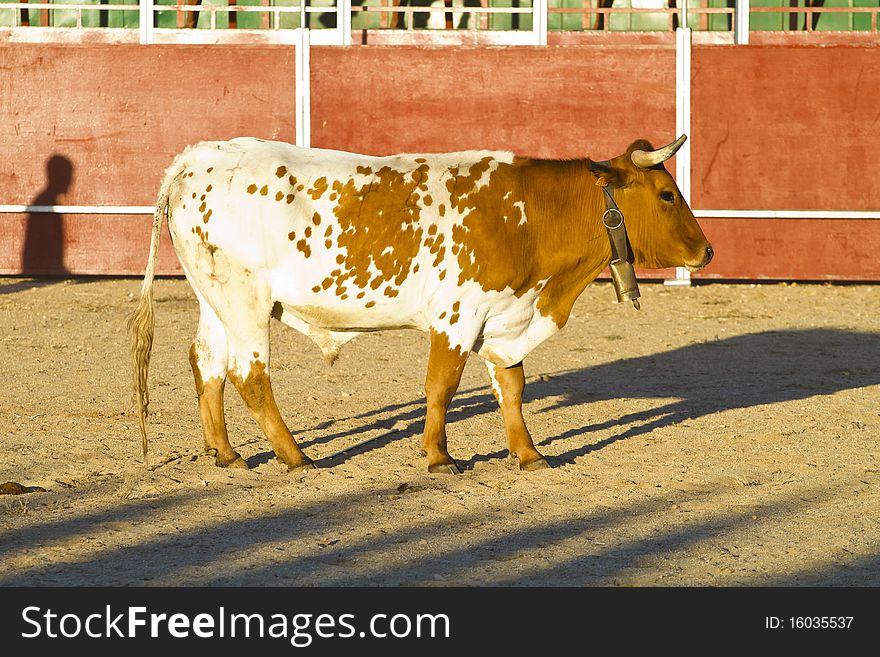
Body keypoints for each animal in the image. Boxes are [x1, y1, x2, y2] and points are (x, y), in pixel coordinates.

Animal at [131, 135, 712, 472]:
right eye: (667, 194)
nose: (706, 251)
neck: (527, 214)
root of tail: (197, 158)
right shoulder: (457, 316)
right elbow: (442, 387)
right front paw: (438, 456)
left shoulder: (505, 316)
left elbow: (512, 387)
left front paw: (527, 454)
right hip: (245, 300)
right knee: (249, 375)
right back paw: (295, 458)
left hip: (214, 298)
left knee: (207, 362)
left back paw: (226, 453)